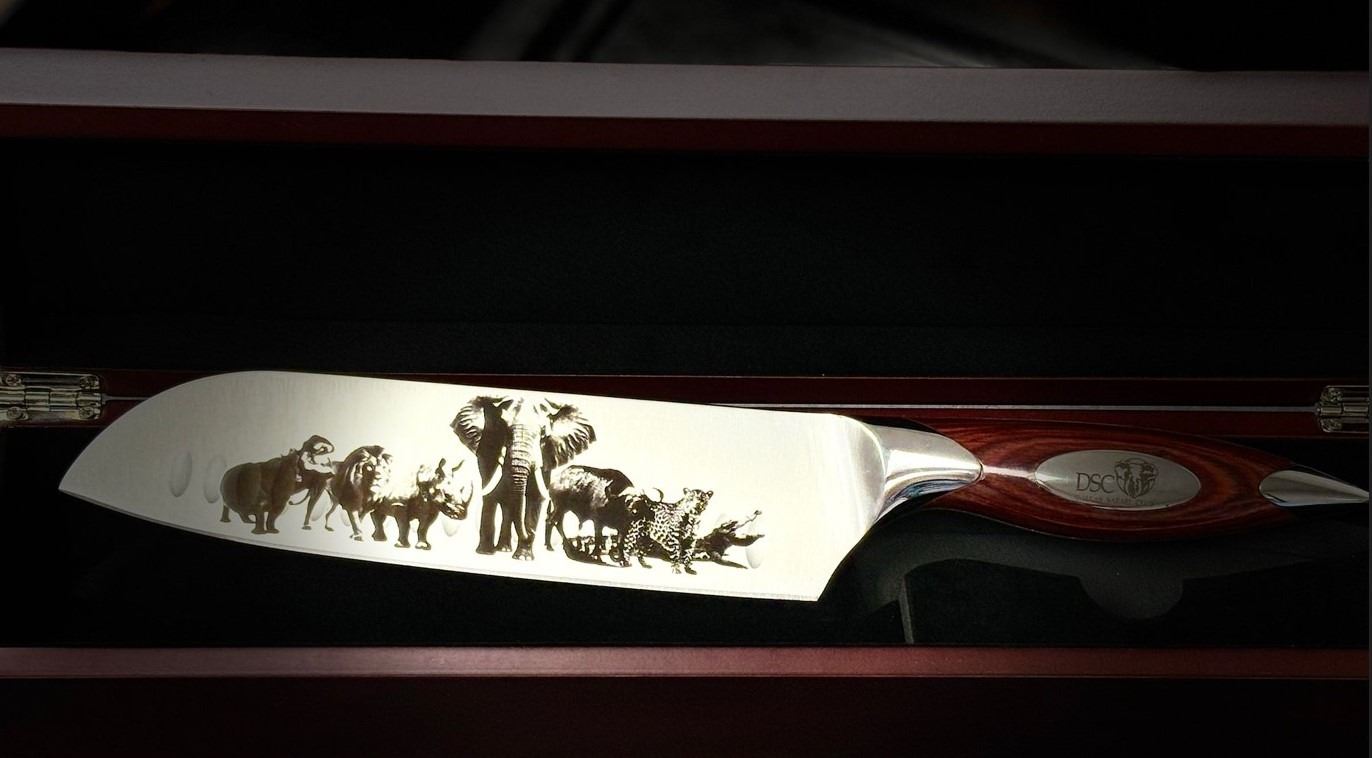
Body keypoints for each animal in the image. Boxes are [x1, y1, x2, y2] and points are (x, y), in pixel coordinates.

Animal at [452, 395, 595, 560]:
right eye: (504, 428)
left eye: (543, 433)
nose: (529, 535)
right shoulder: (487, 444)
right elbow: (491, 493)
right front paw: (486, 553)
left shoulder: (548, 455)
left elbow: (536, 495)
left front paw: (523, 558)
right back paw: (496, 550)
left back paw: (504, 549)